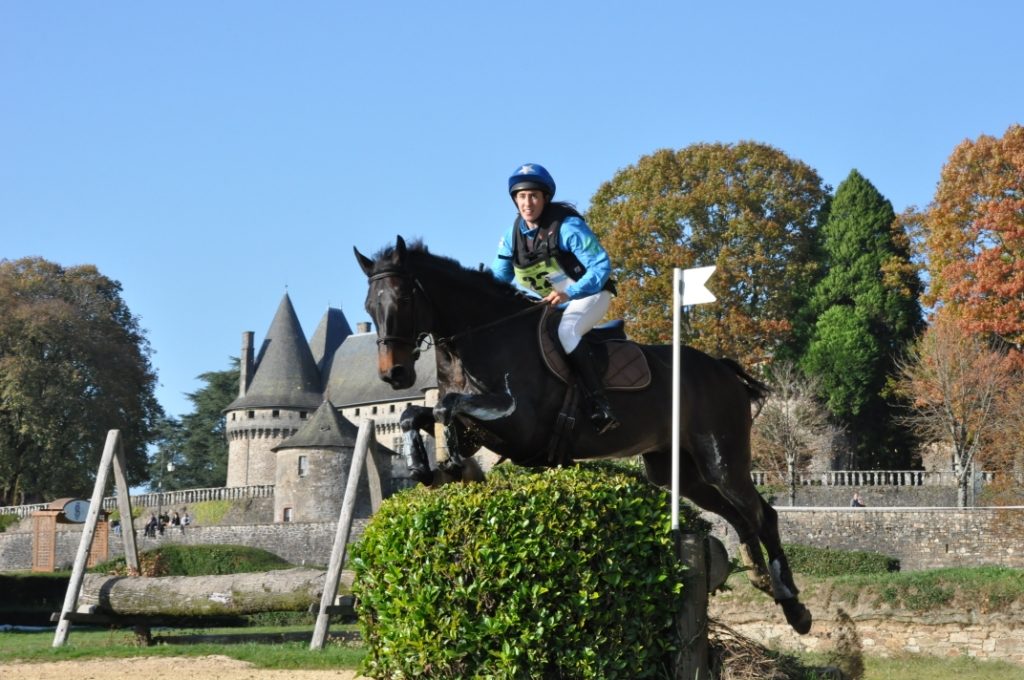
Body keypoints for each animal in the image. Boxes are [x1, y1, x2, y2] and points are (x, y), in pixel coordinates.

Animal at [356, 236, 811, 634]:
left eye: (403, 300)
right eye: (369, 306)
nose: (394, 375)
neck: (482, 336)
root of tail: (723, 369)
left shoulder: (518, 425)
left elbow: (446, 407)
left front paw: (446, 462)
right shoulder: (479, 429)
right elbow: (415, 414)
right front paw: (426, 467)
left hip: (721, 459)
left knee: (762, 514)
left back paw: (794, 606)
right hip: (679, 471)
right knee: (738, 516)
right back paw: (764, 582)